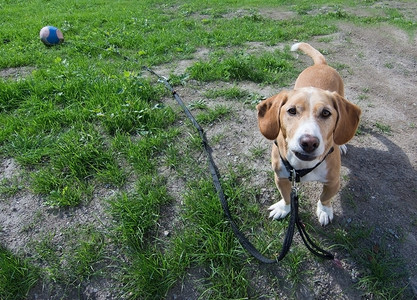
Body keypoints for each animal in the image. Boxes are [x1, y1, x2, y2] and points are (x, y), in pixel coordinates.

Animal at [255, 42, 360, 225]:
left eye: (326, 113)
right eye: (291, 111)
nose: (309, 142)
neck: (302, 167)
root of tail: (321, 65)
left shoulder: (333, 181)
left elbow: (325, 198)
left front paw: (324, 211)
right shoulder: (281, 177)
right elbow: (286, 197)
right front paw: (284, 208)